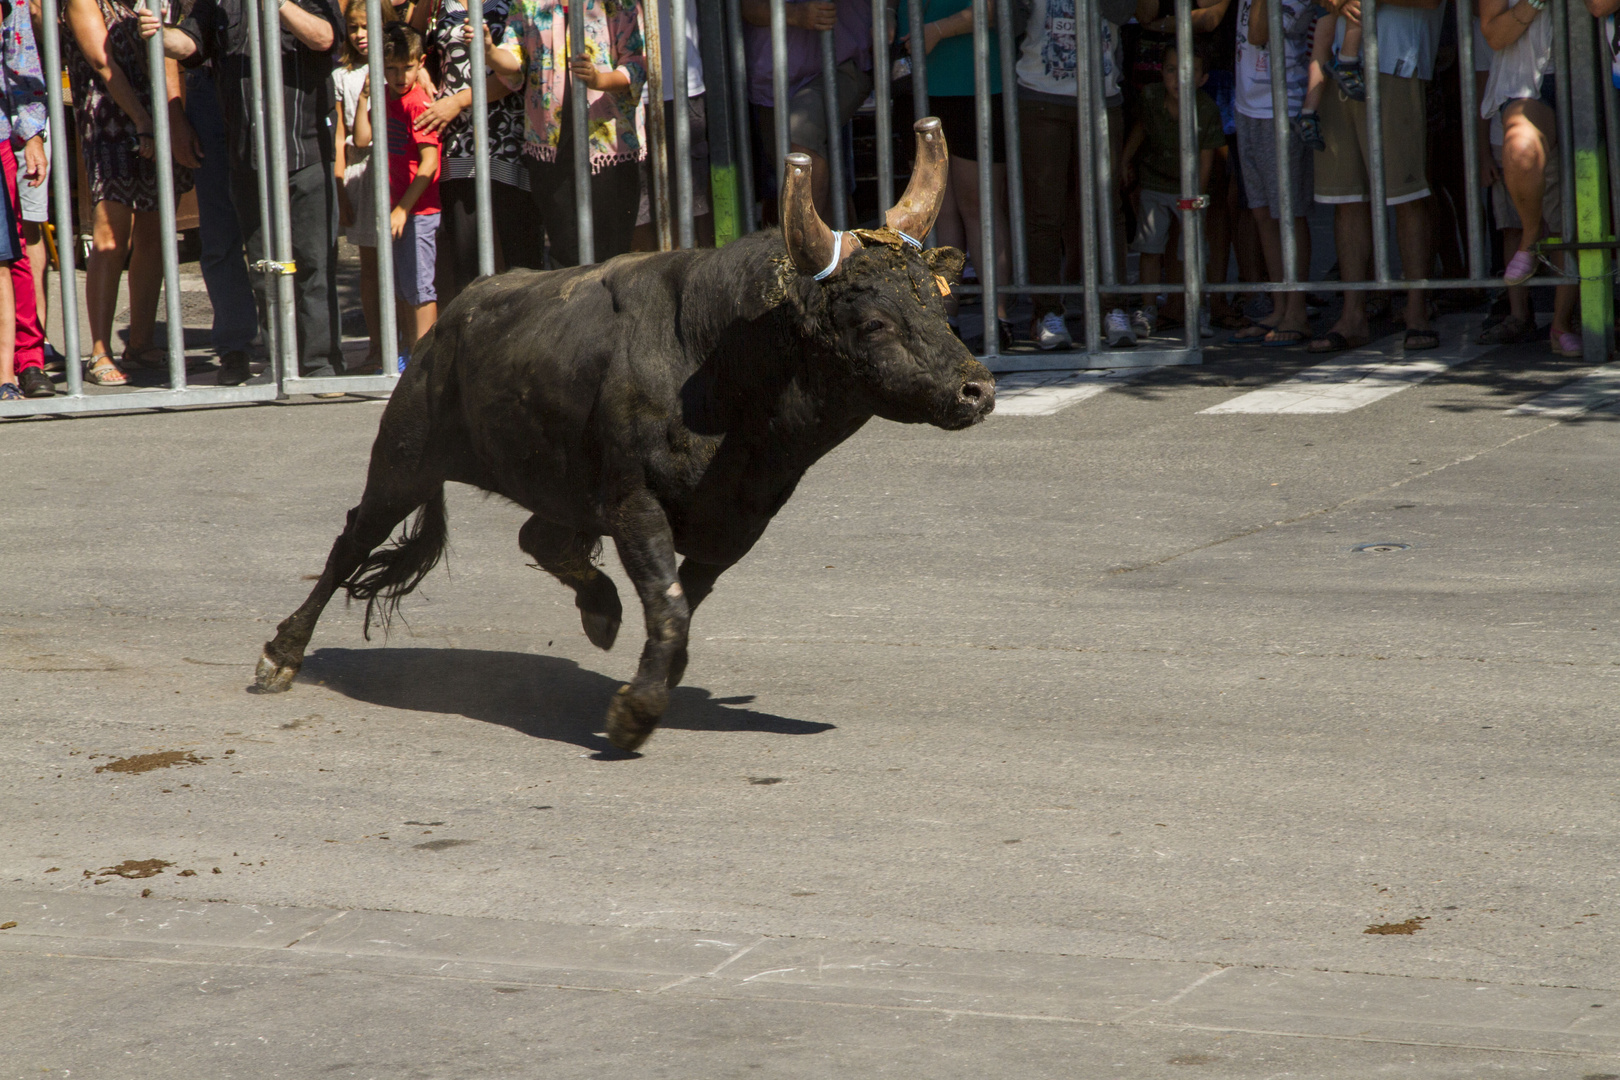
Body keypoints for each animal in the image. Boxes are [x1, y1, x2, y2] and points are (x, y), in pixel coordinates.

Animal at [254, 120, 991, 751]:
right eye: (875, 324)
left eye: (942, 301)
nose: (977, 389)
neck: (722, 367)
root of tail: (452, 317)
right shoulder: (635, 505)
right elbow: (669, 607)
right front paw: (636, 713)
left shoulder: (733, 525)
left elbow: (681, 607)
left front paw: (645, 680)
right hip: (405, 458)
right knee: (353, 541)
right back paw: (281, 655)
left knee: (540, 536)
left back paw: (600, 608)